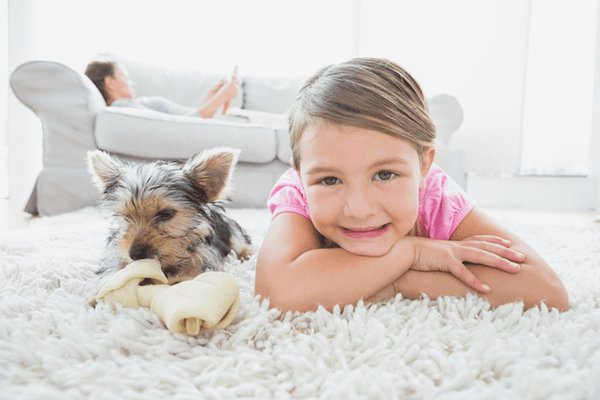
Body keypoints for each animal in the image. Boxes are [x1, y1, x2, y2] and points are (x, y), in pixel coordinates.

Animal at [86, 147, 253, 288]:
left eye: (166, 214)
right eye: (125, 216)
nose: (134, 254)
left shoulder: (206, 253)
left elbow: (197, 269)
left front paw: (180, 279)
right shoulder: (116, 247)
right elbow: (113, 266)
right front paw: (99, 290)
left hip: (230, 229)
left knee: (240, 241)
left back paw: (248, 253)